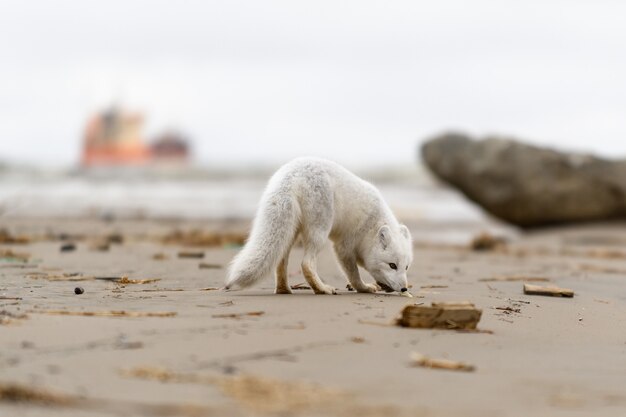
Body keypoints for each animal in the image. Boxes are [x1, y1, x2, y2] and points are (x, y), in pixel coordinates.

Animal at [223, 157, 410, 296]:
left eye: (406, 267)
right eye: (392, 265)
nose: (404, 288)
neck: (372, 225)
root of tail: (290, 176)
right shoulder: (344, 247)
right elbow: (354, 275)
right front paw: (365, 288)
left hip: (290, 230)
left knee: (281, 260)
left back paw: (284, 289)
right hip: (320, 230)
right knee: (306, 263)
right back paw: (322, 289)